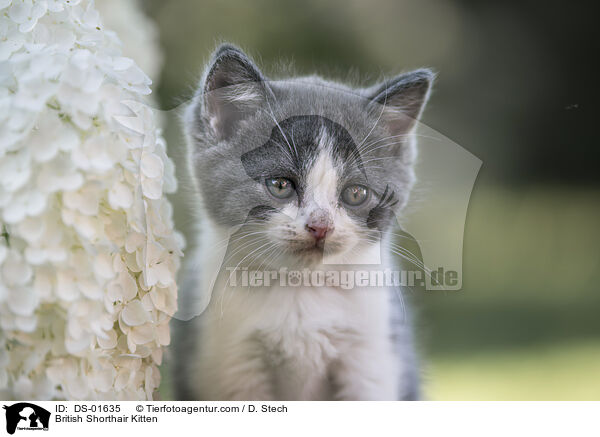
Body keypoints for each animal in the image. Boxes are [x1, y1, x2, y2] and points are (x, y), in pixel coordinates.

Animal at [171, 43, 434, 398]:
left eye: (356, 193)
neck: (301, 290)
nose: (320, 225)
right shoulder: (229, 364)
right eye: (280, 185)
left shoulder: (373, 358)